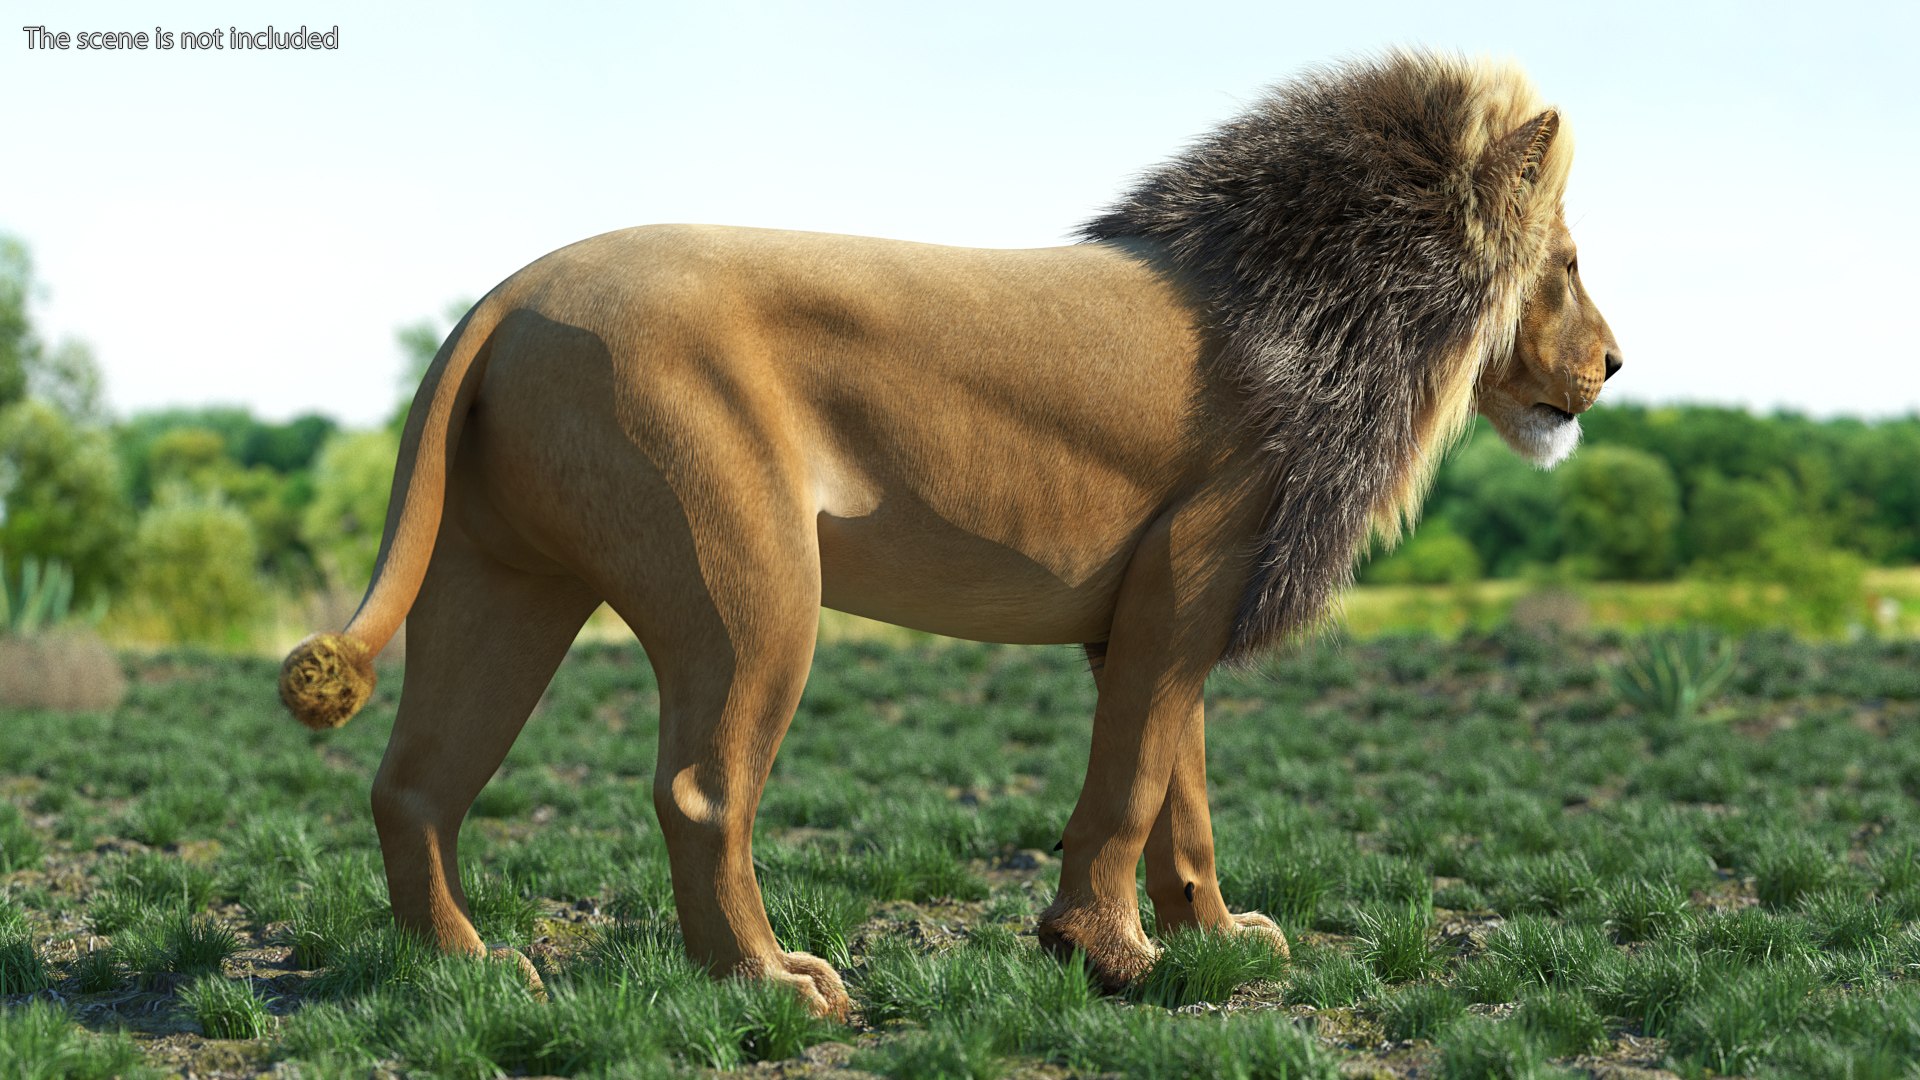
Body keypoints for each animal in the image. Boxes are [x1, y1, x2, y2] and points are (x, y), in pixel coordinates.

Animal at [279, 50, 1620, 1019]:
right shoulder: (1194, 566)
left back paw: (465, 974)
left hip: (503, 581)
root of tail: (507, 293)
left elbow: (1179, 785)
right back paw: (772, 986)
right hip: (751, 583)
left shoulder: (1167, 602)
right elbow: (1133, 784)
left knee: (415, 784)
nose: (1612, 363)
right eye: (1563, 264)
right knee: (701, 789)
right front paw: (1110, 957)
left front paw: (1220, 940)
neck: (1330, 302)